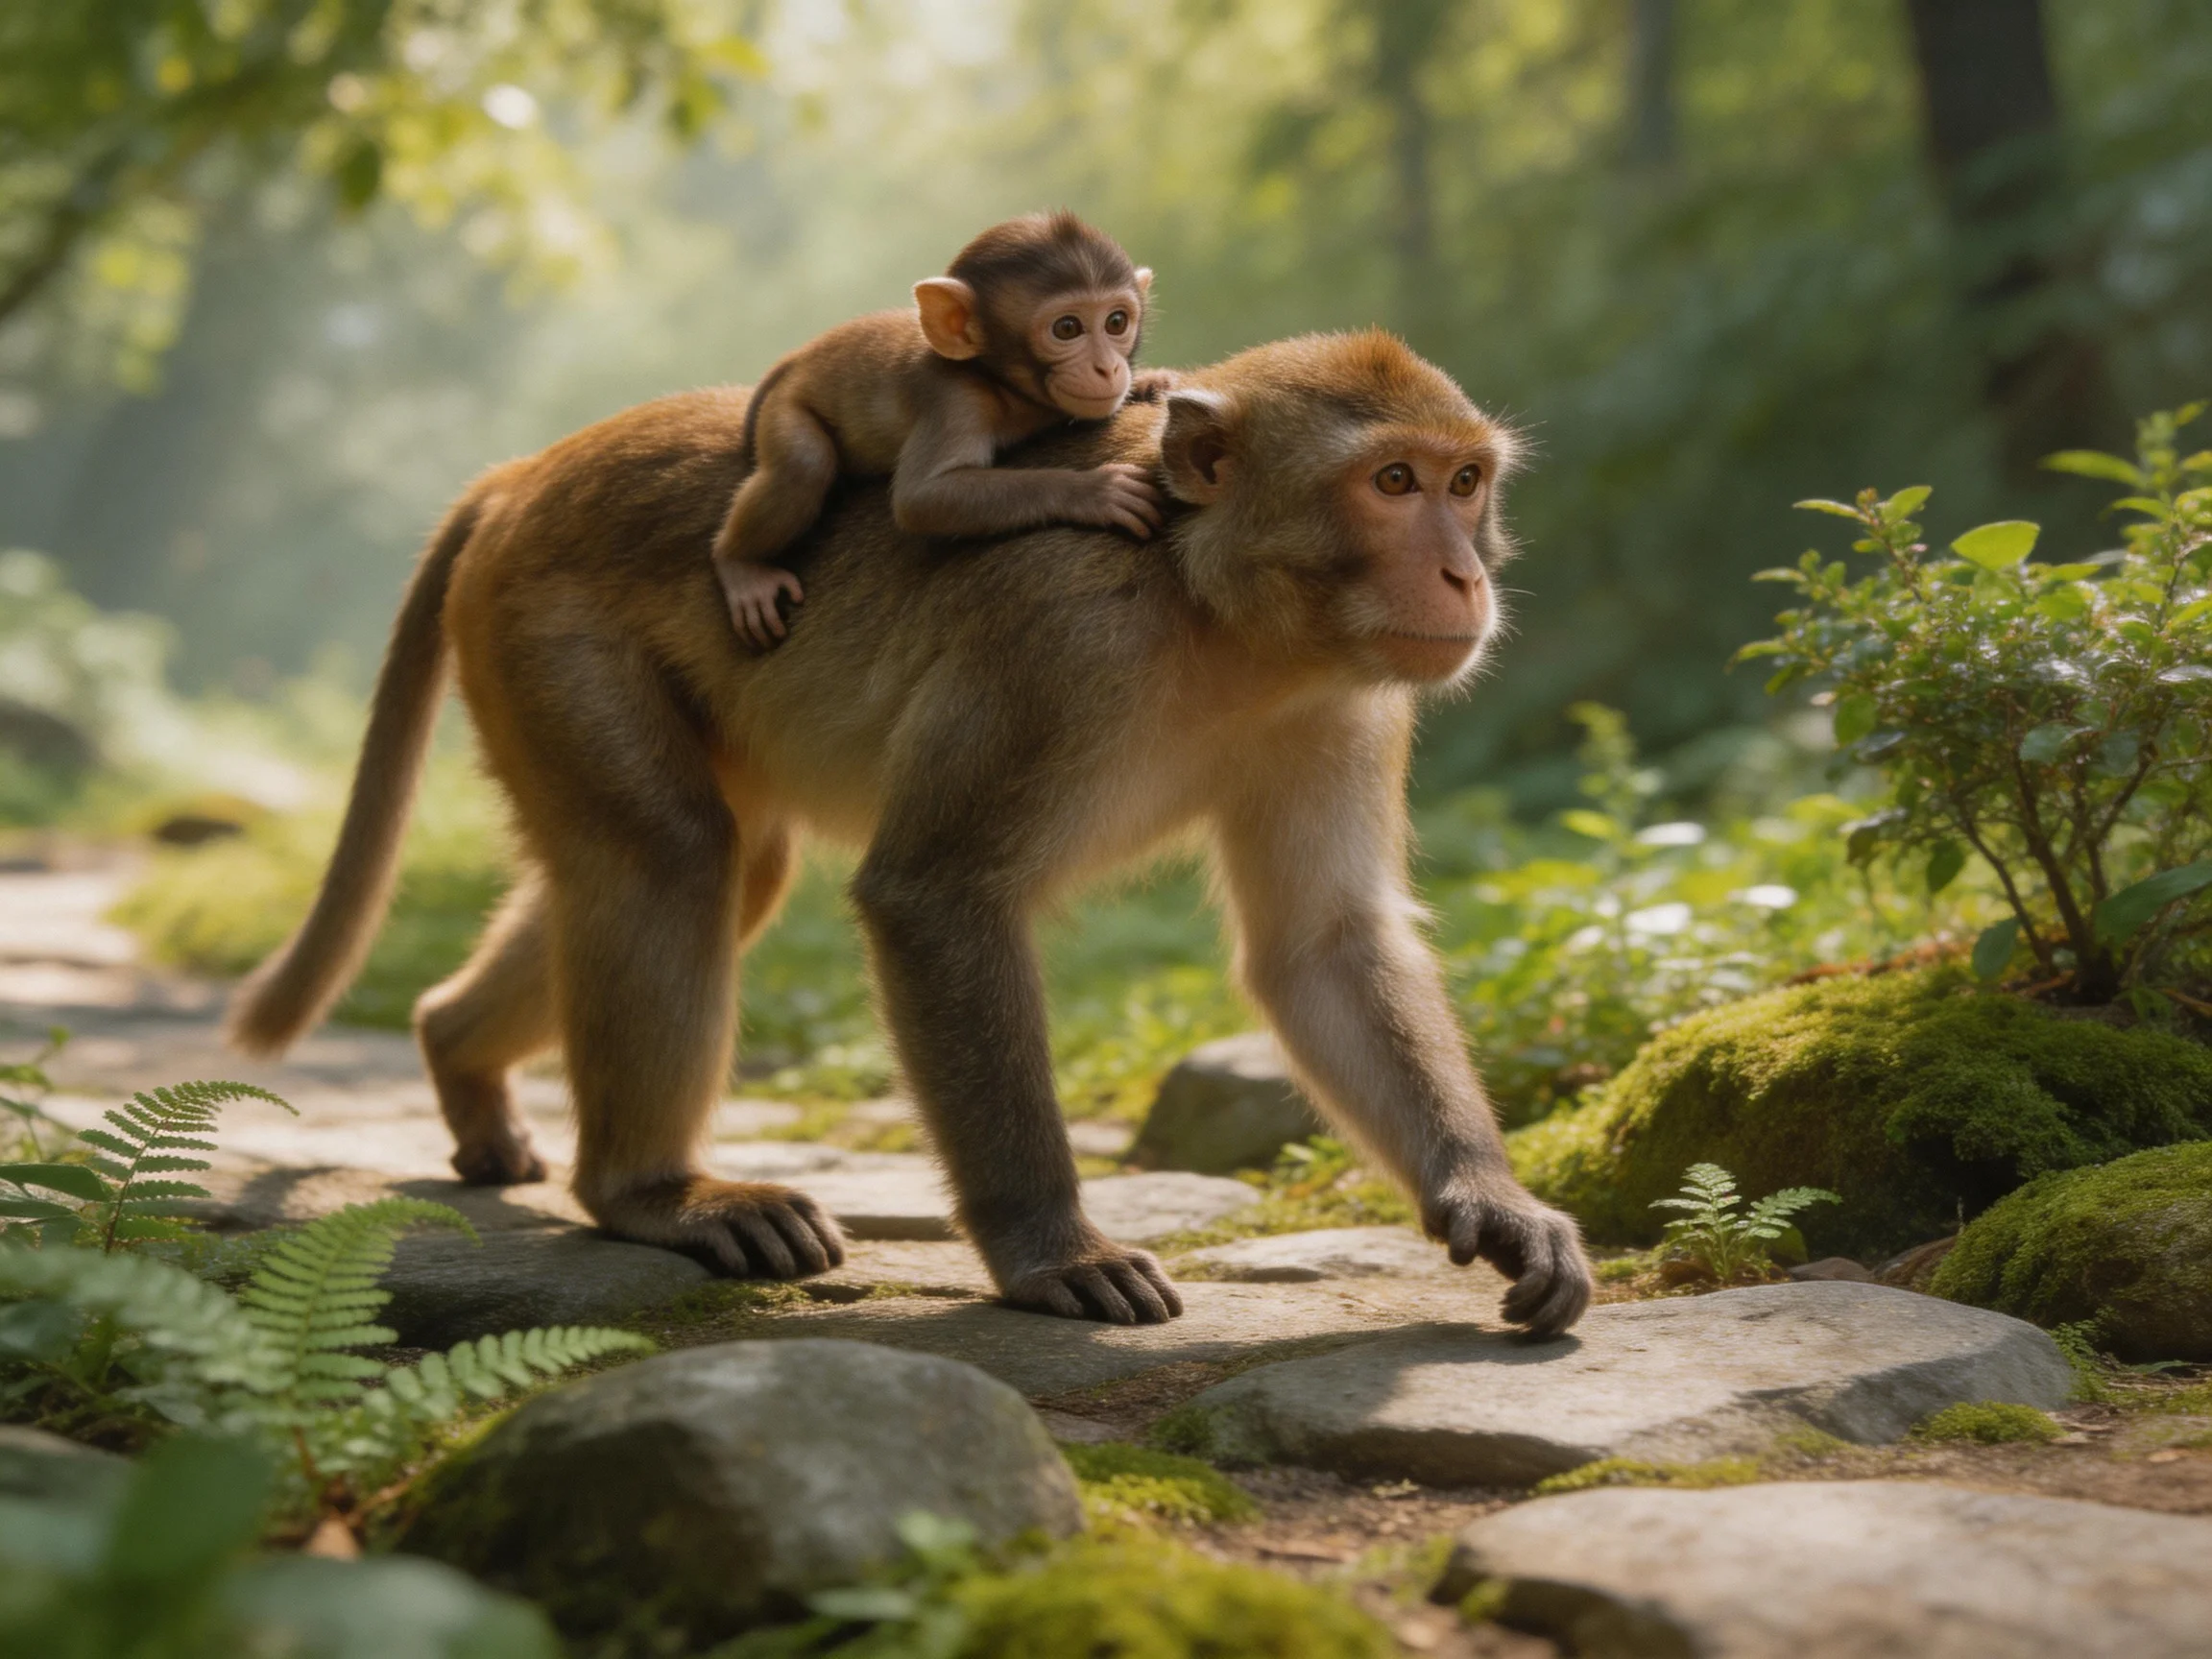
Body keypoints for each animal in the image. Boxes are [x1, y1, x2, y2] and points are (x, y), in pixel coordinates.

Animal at [226, 328, 1594, 1338]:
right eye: (1392, 484)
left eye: (1465, 483)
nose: (1465, 576)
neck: (1209, 604)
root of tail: (519, 475)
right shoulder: (1063, 637)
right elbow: (935, 895)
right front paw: (1051, 1251)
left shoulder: (1343, 706)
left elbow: (1321, 946)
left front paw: (1494, 1202)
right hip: (544, 634)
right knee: (672, 857)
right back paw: (650, 1194)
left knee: (716, 866)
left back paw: (455, 1048)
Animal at [712, 211, 1170, 649]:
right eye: (1068, 328)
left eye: (1116, 322)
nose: (1107, 368)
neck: (998, 381)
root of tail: (797, 360)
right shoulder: (953, 398)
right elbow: (922, 497)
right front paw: (1094, 491)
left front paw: (1150, 381)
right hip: (784, 408)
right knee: (804, 464)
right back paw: (738, 565)